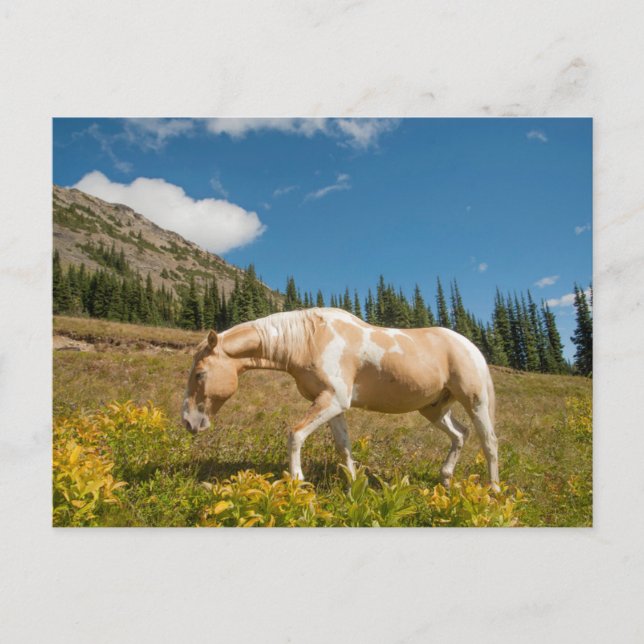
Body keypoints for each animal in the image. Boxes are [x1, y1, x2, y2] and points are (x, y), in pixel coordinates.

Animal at [182, 307, 500, 490]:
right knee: (460, 434)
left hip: (476, 401)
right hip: (433, 409)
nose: (188, 421)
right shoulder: (332, 405)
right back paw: (445, 480)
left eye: (199, 374)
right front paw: (354, 487)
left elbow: (295, 435)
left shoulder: (333, 400)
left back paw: (494, 491)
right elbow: (343, 446)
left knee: (489, 443)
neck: (311, 339)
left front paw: (296, 482)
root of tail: (470, 346)